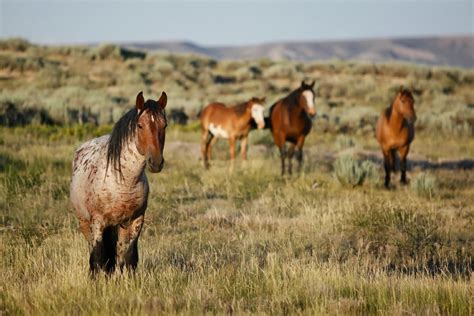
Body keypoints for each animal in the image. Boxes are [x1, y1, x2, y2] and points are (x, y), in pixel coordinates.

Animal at [69, 91, 168, 274]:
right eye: (140, 126)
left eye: (164, 125)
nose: (156, 162)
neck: (124, 181)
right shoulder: (98, 222)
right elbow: (98, 259)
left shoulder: (135, 220)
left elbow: (128, 259)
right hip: (85, 223)